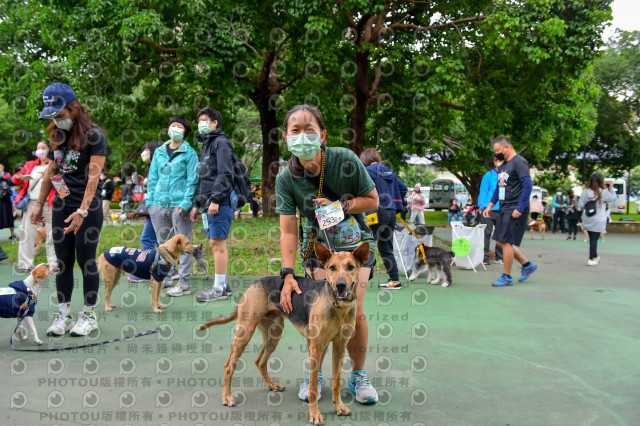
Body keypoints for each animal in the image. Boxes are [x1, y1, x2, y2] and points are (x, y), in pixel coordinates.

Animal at [200, 241, 370, 424]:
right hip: (245, 333)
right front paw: (314, 414)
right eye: (331, 268)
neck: (337, 305)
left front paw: (338, 407)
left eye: (350, 267)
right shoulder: (316, 346)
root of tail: (253, 284)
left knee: (260, 361)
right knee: (228, 365)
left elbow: (336, 382)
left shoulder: (339, 346)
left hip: (273, 335)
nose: (340, 285)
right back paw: (227, 397)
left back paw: (272, 385)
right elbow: (313, 386)